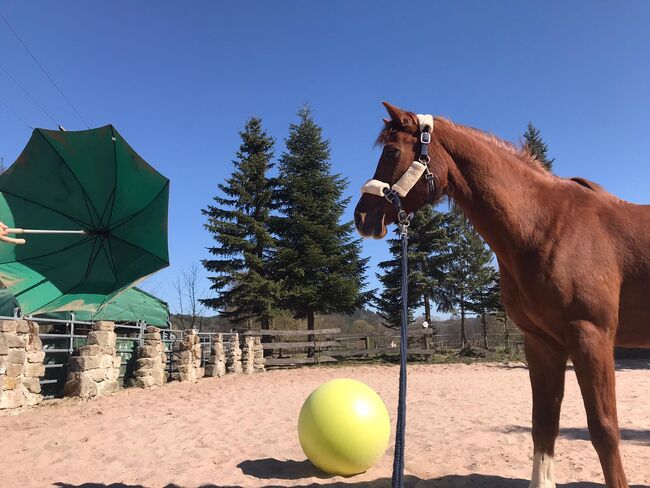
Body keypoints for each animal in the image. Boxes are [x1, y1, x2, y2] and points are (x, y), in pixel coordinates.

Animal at [354, 101, 648, 486]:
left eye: (391, 151)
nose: (362, 217)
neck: (547, 225)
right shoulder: (542, 343)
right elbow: (543, 425)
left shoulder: (591, 337)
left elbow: (604, 430)